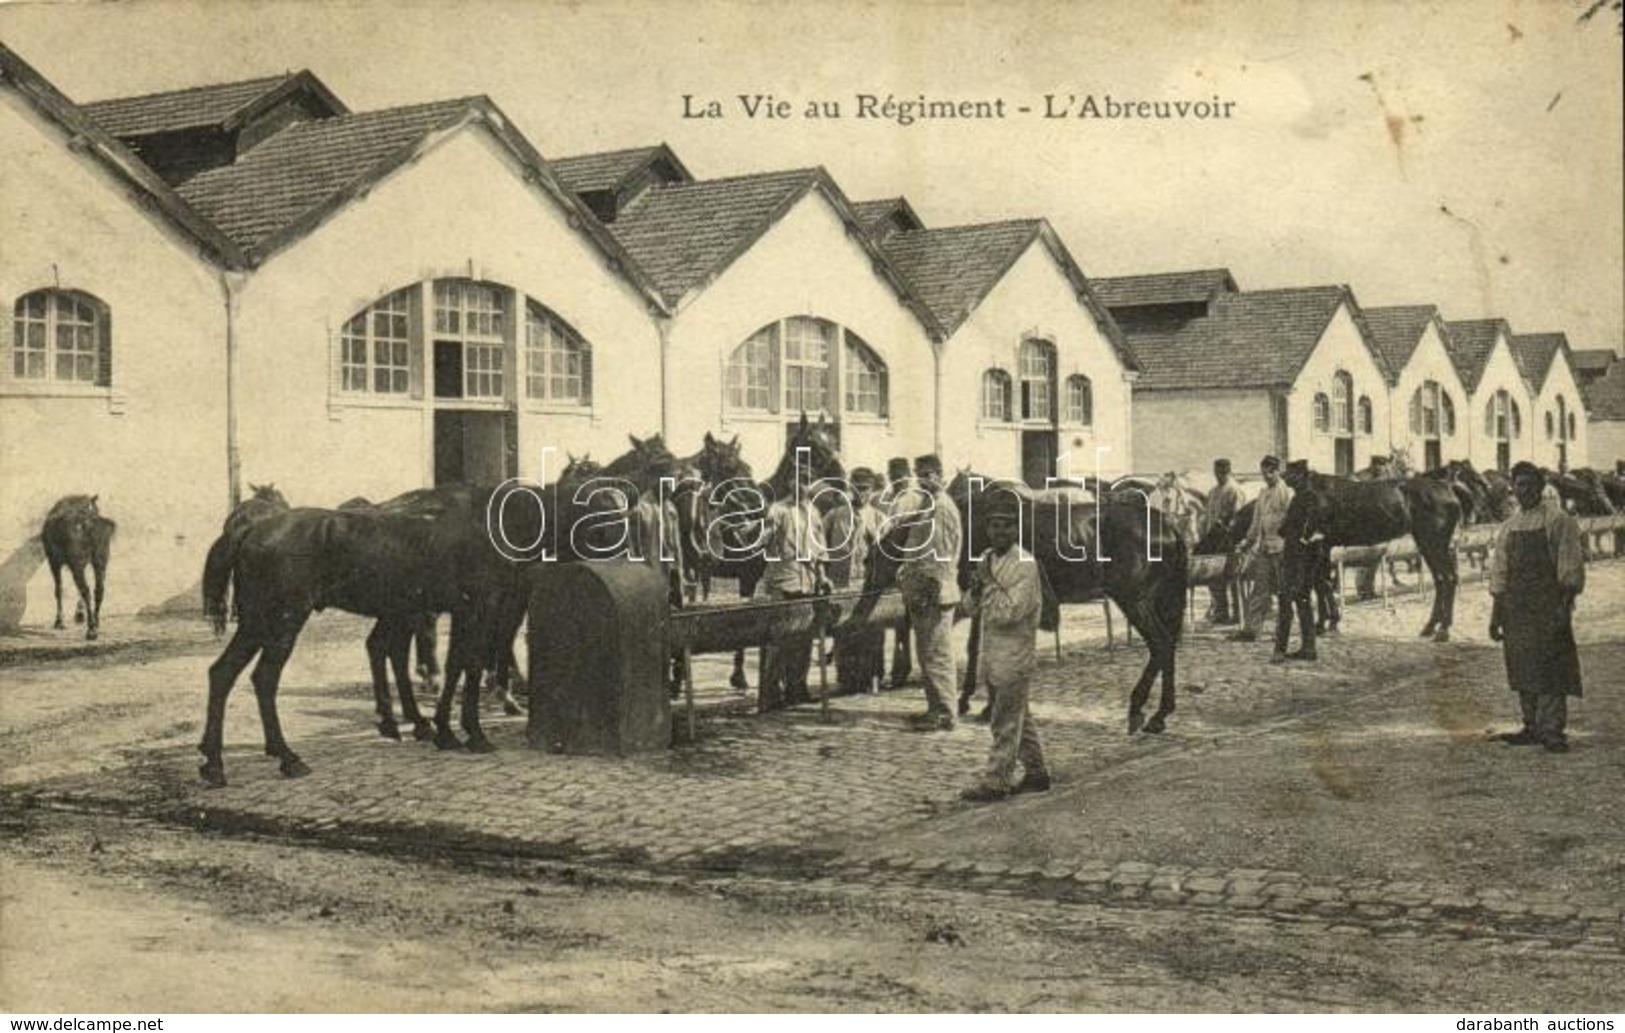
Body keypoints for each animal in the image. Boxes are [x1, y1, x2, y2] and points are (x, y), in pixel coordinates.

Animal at [42, 493, 116, 636]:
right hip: (101, 560)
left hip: (76, 563)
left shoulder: (54, 561)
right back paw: (96, 622)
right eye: (97, 508)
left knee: (86, 590)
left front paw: (59, 621)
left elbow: (58, 590)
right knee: (98, 590)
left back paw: (91, 629)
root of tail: (90, 524)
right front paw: (79, 614)